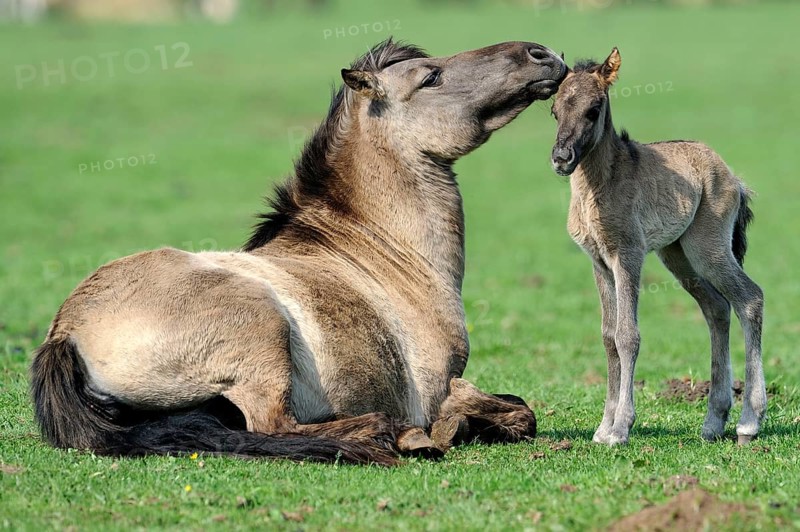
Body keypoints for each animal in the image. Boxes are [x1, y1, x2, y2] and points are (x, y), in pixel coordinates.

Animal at [31, 39, 567, 465]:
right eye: (430, 76)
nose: (542, 54)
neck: (384, 255)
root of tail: (66, 332)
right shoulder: (438, 391)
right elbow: (517, 412)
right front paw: (451, 428)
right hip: (261, 334)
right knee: (273, 426)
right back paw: (395, 435)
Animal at [549, 48, 765, 445]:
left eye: (594, 109)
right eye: (554, 110)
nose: (561, 158)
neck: (598, 186)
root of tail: (733, 177)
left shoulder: (628, 255)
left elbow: (627, 335)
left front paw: (620, 428)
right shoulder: (599, 262)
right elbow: (608, 336)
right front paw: (603, 428)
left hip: (708, 249)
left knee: (749, 298)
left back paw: (748, 422)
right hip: (677, 255)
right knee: (717, 307)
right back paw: (713, 422)